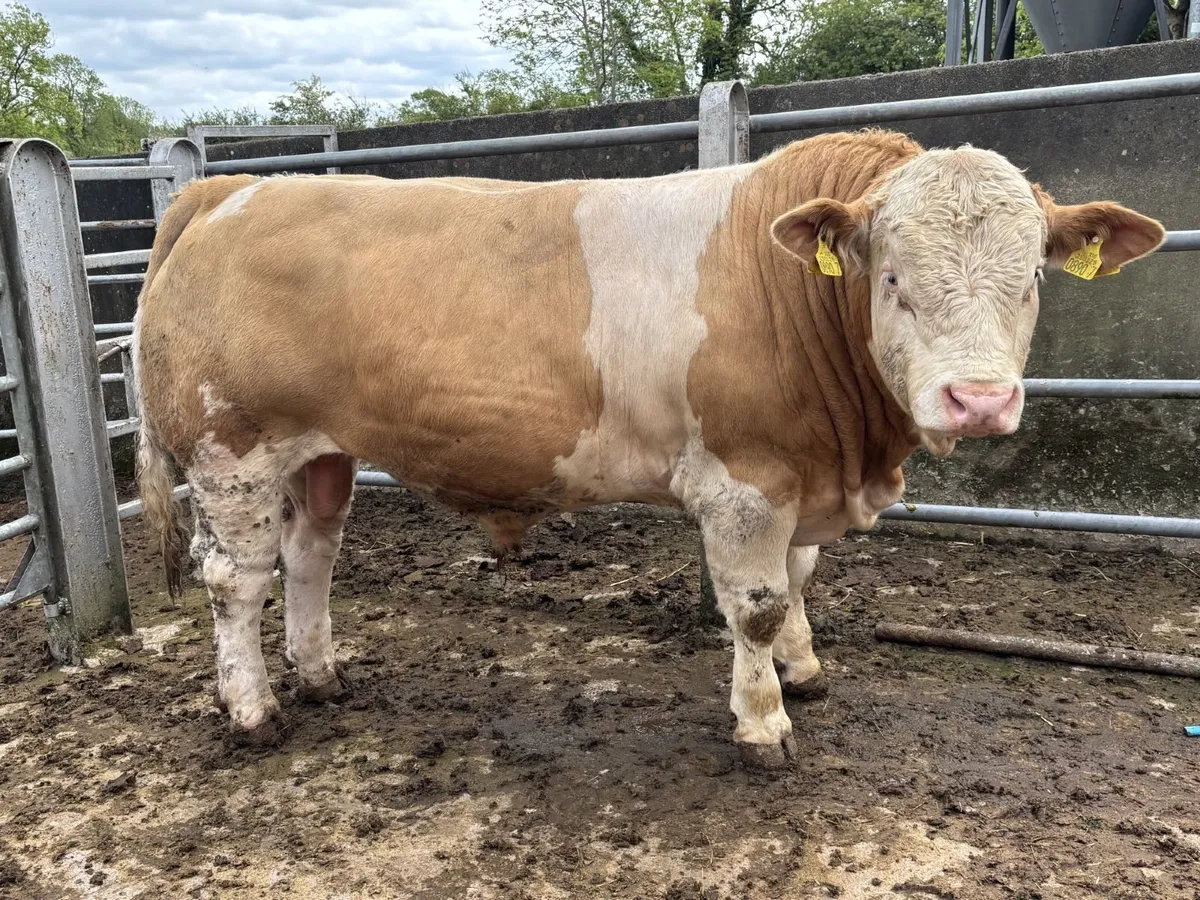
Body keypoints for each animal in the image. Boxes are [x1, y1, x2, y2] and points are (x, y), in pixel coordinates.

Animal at [132, 130, 1164, 769]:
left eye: (1034, 278)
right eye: (894, 279)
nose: (979, 401)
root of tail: (236, 188)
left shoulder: (800, 482)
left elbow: (798, 582)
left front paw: (803, 672)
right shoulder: (746, 482)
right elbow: (755, 606)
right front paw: (763, 725)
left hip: (322, 454)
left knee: (311, 558)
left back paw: (322, 675)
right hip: (230, 454)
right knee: (237, 580)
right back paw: (254, 711)